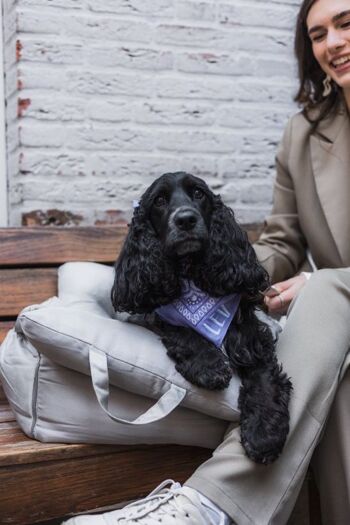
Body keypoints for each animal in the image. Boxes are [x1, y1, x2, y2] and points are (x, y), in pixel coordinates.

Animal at [112, 171, 292, 462]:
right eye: (159, 200)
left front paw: (264, 434)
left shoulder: (252, 340)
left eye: (198, 193)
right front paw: (210, 366)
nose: (186, 219)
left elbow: (265, 381)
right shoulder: (153, 313)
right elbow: (180, 329)